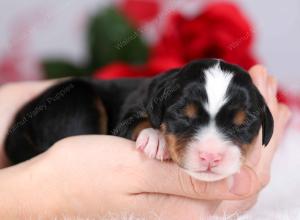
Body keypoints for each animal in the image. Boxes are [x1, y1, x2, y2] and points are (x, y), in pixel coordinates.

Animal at [4, 58, 274, 180]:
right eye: (181, 115)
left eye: (243, 124)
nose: (210, 156)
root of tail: (22, 116)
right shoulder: (129, 113)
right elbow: (139, 122)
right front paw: (157, 138)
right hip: (78, 100)